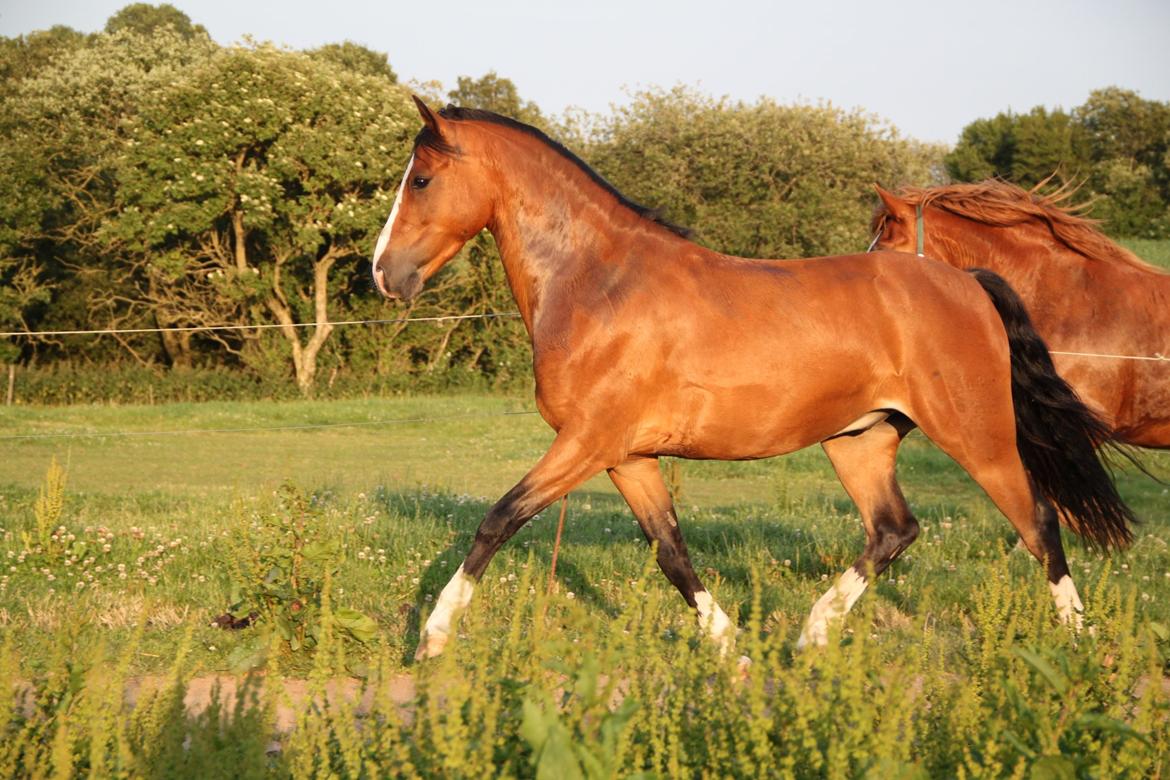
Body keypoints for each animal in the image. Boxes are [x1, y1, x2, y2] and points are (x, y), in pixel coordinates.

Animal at [373, 98, 1135, 660]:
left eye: (421, 179)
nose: (384, 274)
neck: (599, 283)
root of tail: (968, 282)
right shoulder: (627, 457)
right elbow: (672, 552)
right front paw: (729, 647)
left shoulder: (586, 442)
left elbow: (497, 521)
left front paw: (432, 638)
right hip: (859, 440)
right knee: (895, 529)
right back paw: (812, 634)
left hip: (977, 435)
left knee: (1039, 521)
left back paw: (1081, 644)